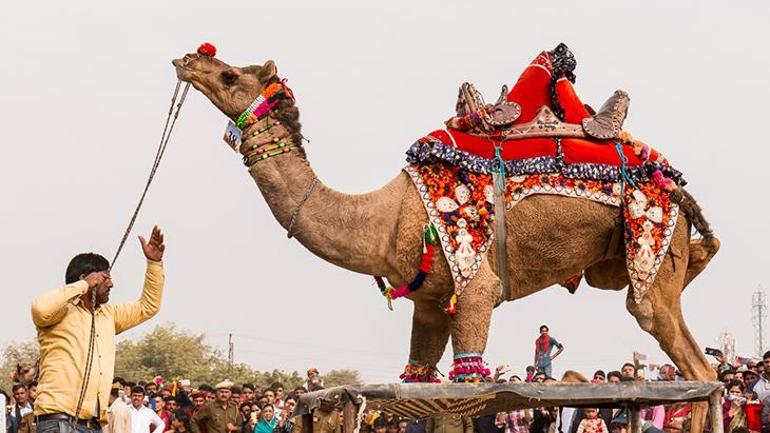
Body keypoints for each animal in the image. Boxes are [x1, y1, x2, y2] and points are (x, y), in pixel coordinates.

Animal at [171, 47, 716, 426]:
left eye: (230, 75)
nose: (188, 59)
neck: (387, 217)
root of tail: (681, 192)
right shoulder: (429, 303)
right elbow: (420, 382)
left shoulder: (474, 285)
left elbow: (466, 385)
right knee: (698, 373)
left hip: (652, 247)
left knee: (694, 365)